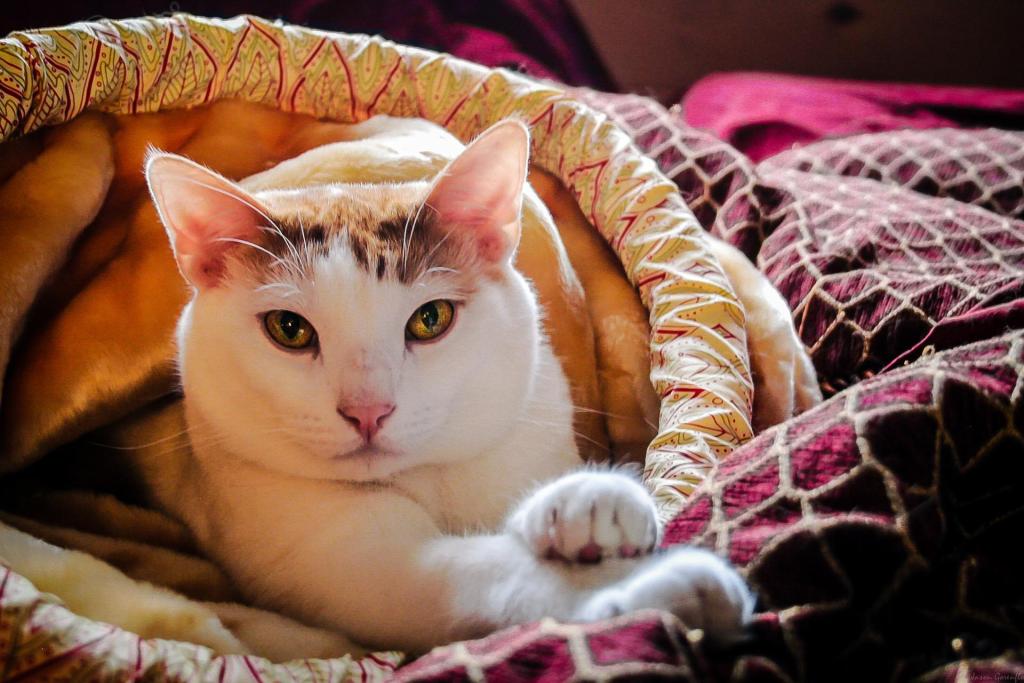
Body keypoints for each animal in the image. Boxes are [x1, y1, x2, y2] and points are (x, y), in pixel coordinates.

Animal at [138, 120, 761, 655]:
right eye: (289, 329)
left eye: (429, 319)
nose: (368, 410)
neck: (431, 476)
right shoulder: (364, 568)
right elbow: (480, 576)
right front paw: (649, 584)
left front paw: (594, 499)